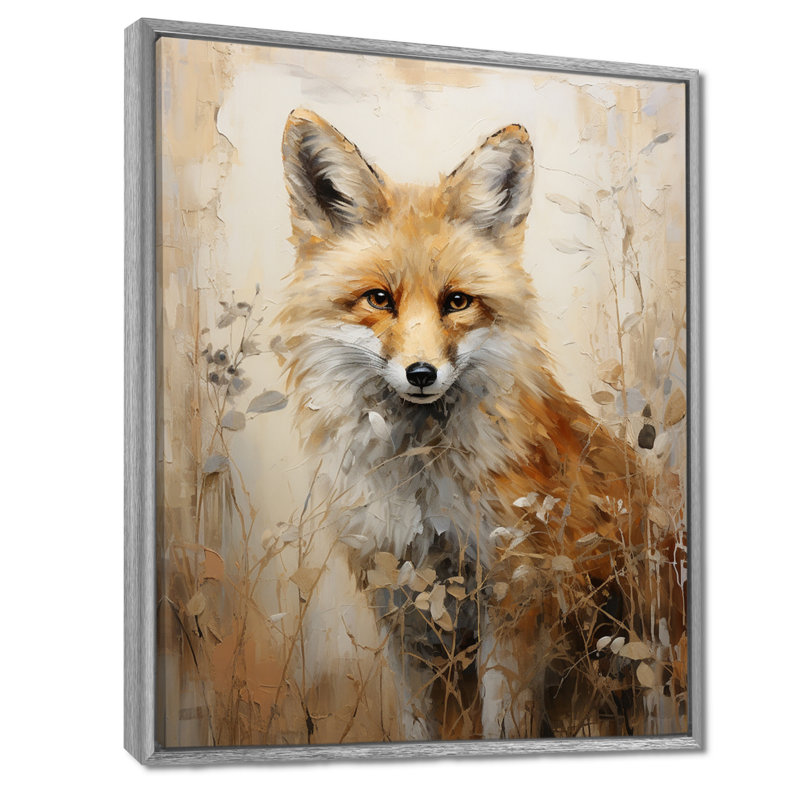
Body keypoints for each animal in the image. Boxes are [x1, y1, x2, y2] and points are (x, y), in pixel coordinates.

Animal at [278, 109, 685, 741]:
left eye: (457, 302)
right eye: (379, 299)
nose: (422, 373)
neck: (421, 485)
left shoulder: (513, 599)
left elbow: (504, 723)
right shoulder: (401, 608)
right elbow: (417, 725)